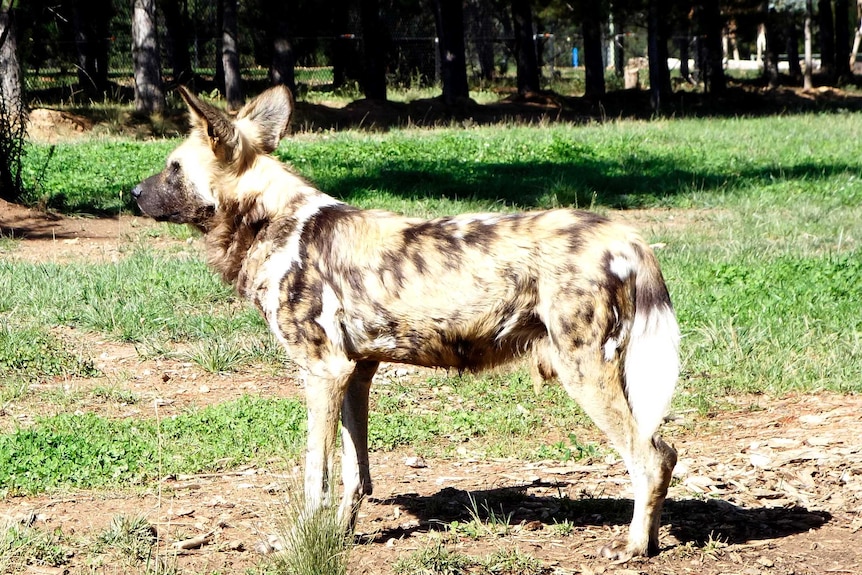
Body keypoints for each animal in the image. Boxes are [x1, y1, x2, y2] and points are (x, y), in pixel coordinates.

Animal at [132, 86, 680, 564]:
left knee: (649, 459)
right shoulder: (354, 373)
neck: (270, 219)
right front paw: (340, 534)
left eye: (174, 168)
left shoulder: (322, 372)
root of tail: (626, 236)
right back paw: (650, 543)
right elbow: (356, 475)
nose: (131, 192)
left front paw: (304, 539)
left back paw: (632, 549)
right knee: (664, 451)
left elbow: (316, 478)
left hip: (583, 371)